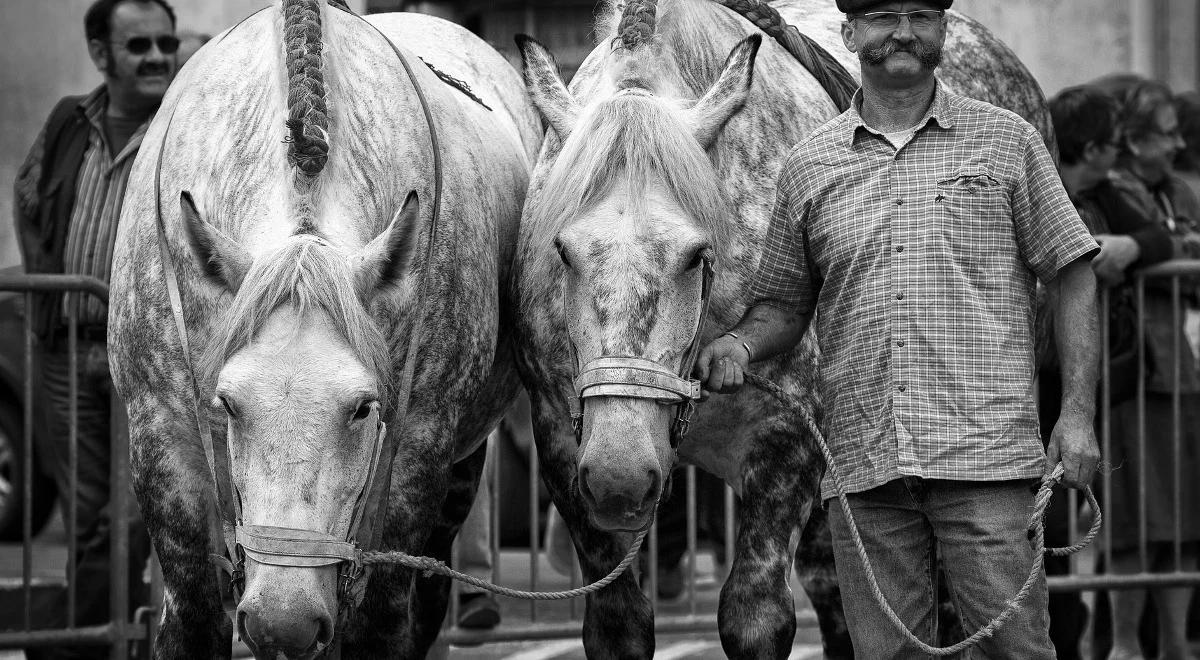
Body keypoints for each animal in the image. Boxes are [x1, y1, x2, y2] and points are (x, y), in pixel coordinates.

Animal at [108, 2, 540, 657]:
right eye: (227, 404)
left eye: (362, 407)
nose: (282, 621)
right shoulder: (160, 440)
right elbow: (194, 619)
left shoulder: (418, 452)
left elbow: (380, 621)